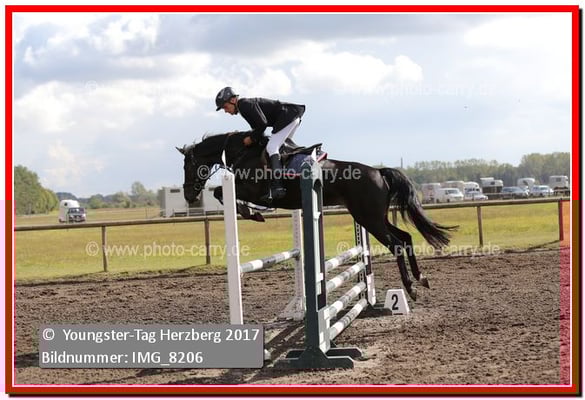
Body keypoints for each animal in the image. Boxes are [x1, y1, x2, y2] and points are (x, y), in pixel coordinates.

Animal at [177, 132, 457, 300]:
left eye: (187, 165)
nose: (189, 195)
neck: (241, 152)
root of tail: (379, 172)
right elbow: (222, 195)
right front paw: (252, 213)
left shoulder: (253, 189)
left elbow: (219, 193)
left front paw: (251, 213)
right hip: (375, 218)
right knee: (406, 237)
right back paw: (421, 278)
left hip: (369, 219)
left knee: (397, 243)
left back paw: (410, 288)